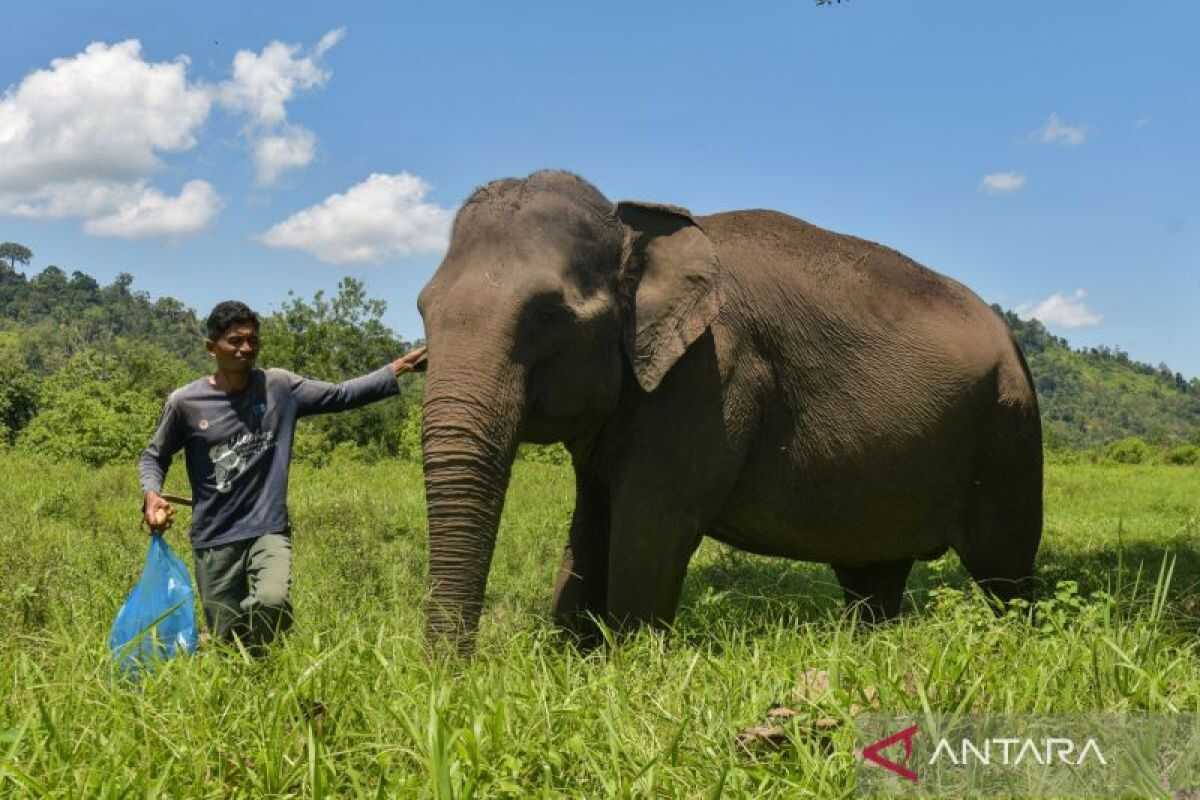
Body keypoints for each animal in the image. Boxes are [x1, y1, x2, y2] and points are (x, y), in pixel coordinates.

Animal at [416, 170, 1042, 654]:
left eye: (549, 314)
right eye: (424, 307)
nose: (450, 679)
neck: (631, 225)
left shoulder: (711, 379)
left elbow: (649, 530)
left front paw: (629, 666)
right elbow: (589, 526)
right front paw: (571, 660)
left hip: (1009, 431)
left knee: (1004, 569)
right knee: (873, 576)